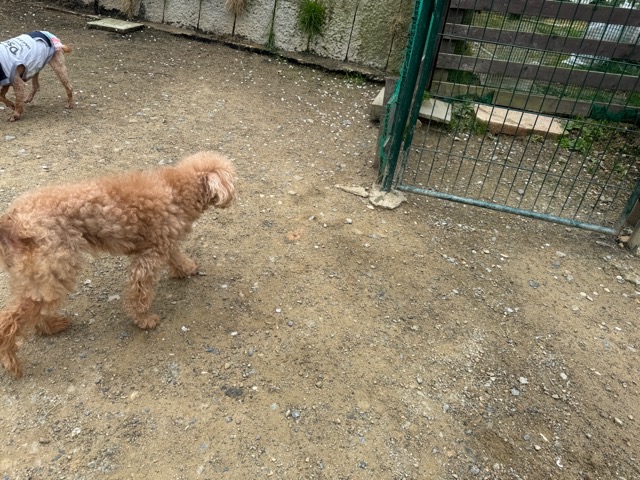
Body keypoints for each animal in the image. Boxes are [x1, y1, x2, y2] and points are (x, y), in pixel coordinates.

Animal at [0, 151, 236, 378]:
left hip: (39, 276)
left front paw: (186, 268)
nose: (233, 196)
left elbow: (176, 256)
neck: (178, 189)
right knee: (10, 320)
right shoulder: (149, 257)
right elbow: (139, 292)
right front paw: (143, 319)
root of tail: (10, 222)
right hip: (55, 267)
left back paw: (52, 326)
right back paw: (12, 362)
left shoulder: (164, 242)